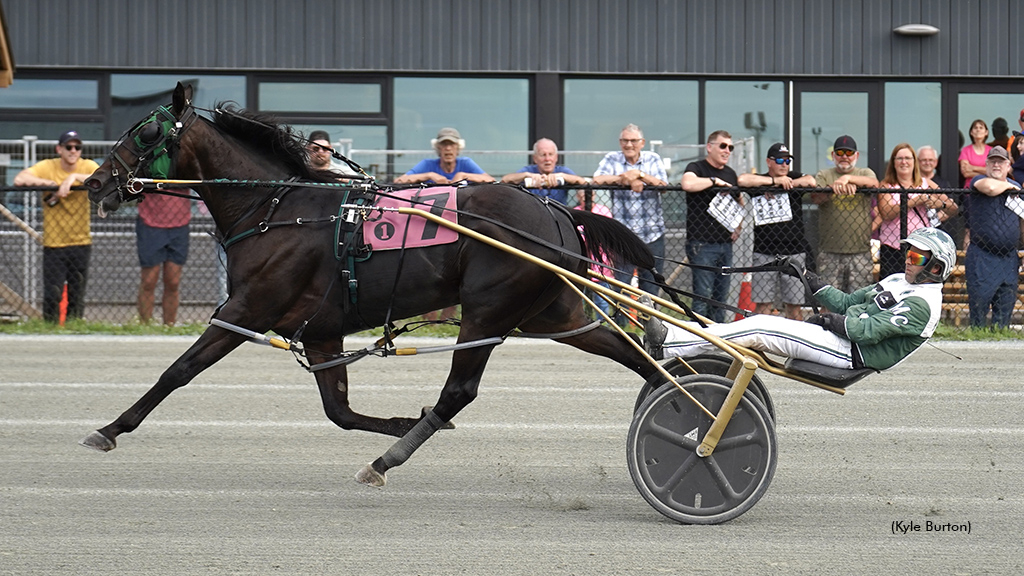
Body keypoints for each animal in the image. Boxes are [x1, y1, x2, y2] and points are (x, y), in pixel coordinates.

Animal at [77, 80, 655, 483]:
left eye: (146, 132)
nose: (94, 183)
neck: (275, 210)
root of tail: (556, 211)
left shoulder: (247, 308)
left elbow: (179, 370)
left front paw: (108, 430)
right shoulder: (320, 329)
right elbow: (339, 410)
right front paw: (401, 421)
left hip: (488, 311)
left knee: (460, 390)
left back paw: (384, 461)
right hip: (551, 315)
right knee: (631, 352)